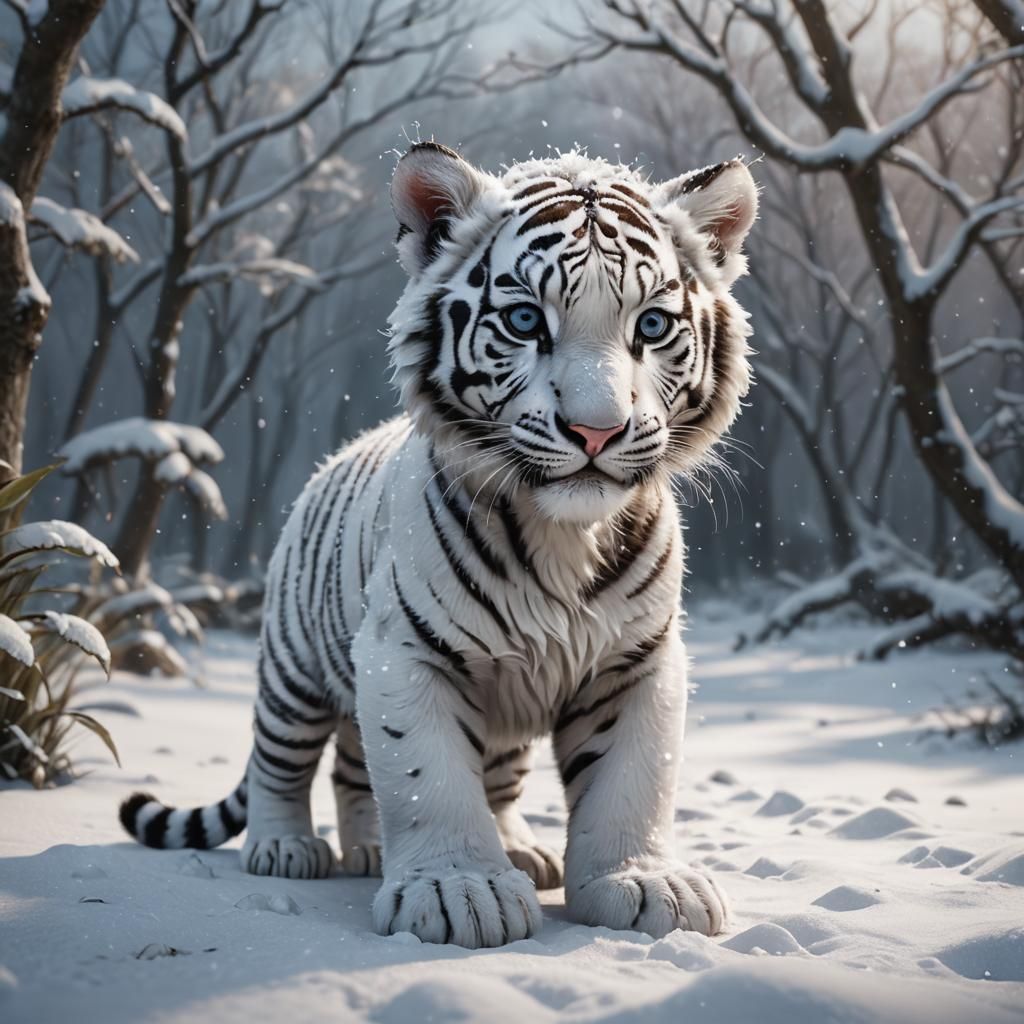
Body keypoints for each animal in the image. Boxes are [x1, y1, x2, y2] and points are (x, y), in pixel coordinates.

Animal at [119, 143, 758, 949]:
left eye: (650, 325)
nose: (597, 431)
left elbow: (631, 780)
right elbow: (429, 778)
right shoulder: (404, 651)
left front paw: (641, 883)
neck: (565, 535)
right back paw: (285, 847)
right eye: (524, 319)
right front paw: (461, 893)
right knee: (281, 760)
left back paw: (430, 849)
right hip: (295, 670)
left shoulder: (636, 659)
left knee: (381, 771)